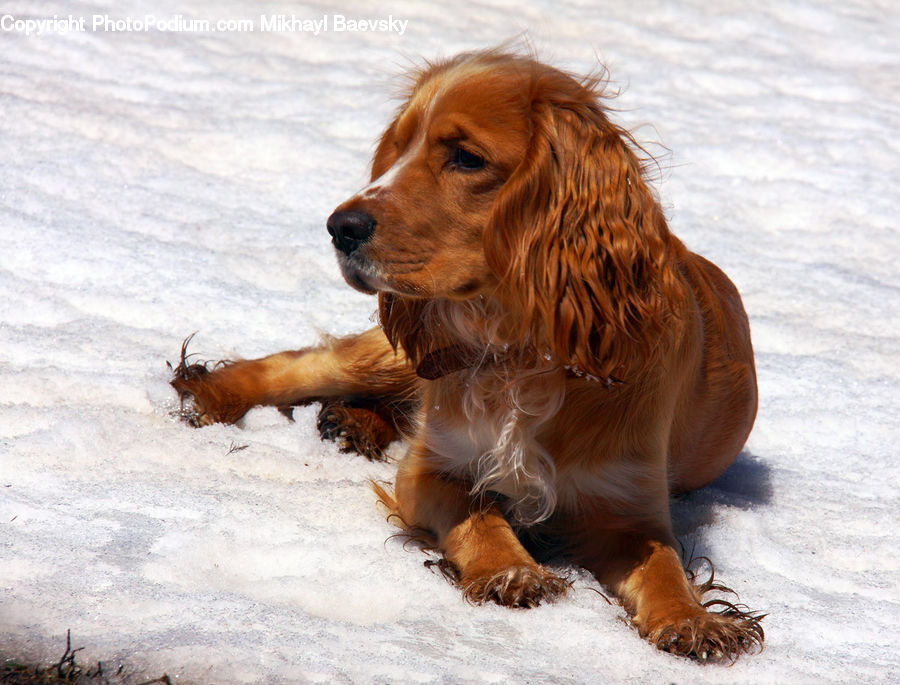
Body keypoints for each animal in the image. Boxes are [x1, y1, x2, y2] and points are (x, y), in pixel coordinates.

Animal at [174, 49, 768, 664]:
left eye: (466, 157)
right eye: (399, 149)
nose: (340, 227)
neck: (519, 353)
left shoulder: (630, 506)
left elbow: (663, 567)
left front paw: (692, 621)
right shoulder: (431, 470)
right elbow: (477, 515)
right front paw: (511, 571)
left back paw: (353, 422)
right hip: (398, 353)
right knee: (306, 362)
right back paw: (212, 395)